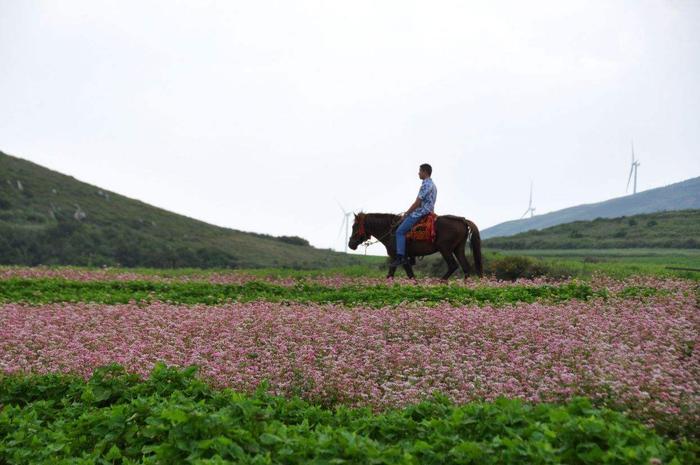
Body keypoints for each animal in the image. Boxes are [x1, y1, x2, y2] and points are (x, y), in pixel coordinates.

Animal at [348, 213, 482, 280]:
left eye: (354, 226)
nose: (350, 244)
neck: (391, 231)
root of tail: (463, 220)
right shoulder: (395, 258)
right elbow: (390, 274)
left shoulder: (402, 257)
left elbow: (410, 275)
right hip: (458, 249)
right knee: (466, 267)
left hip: (445, 249)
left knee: (453, 266)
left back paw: (441, 282)